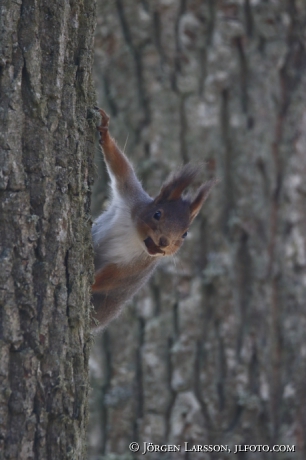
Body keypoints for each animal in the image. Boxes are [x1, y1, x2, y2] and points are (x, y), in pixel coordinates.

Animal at [91, 108, 215, 330]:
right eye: (157, 214)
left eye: (185, 234)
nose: (164, 243)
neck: (134, 235)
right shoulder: (131, 196)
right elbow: (121, 167)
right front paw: (104, 131)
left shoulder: (139, 265)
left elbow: (115, 278)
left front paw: (91, 281)